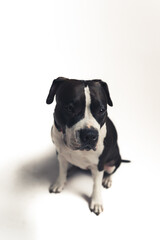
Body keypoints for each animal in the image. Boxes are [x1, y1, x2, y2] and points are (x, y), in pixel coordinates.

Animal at [45, 77, 129, 216]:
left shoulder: (99, 165)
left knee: (112, 170)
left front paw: (96, 202)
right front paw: (59, 183)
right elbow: (61, 171)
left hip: (113, 161)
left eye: (101, 110)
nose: (89, 135)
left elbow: (96, 185)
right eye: (69, 108)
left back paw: (107, 180)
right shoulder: (61, 155)